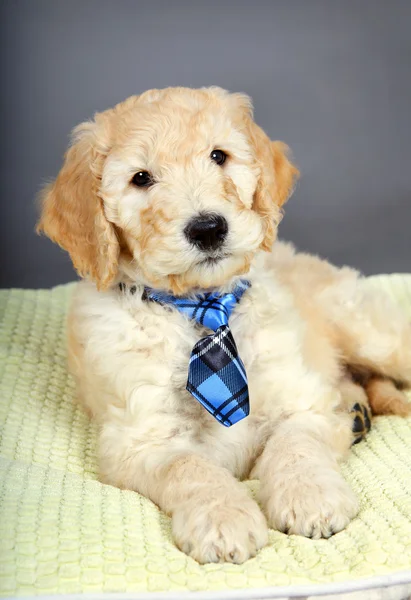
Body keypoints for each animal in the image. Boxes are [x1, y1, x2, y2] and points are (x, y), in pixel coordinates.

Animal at [36, 86, 411, 564]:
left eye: (219, 156)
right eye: (140, 178)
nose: (208, 228)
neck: (205, 310)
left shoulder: (299, 401)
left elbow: (295, 445)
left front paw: (310, 497)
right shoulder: (141, 439)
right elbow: (190, 467)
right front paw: (223, 517)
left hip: (368, 331)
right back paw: (357, 411)